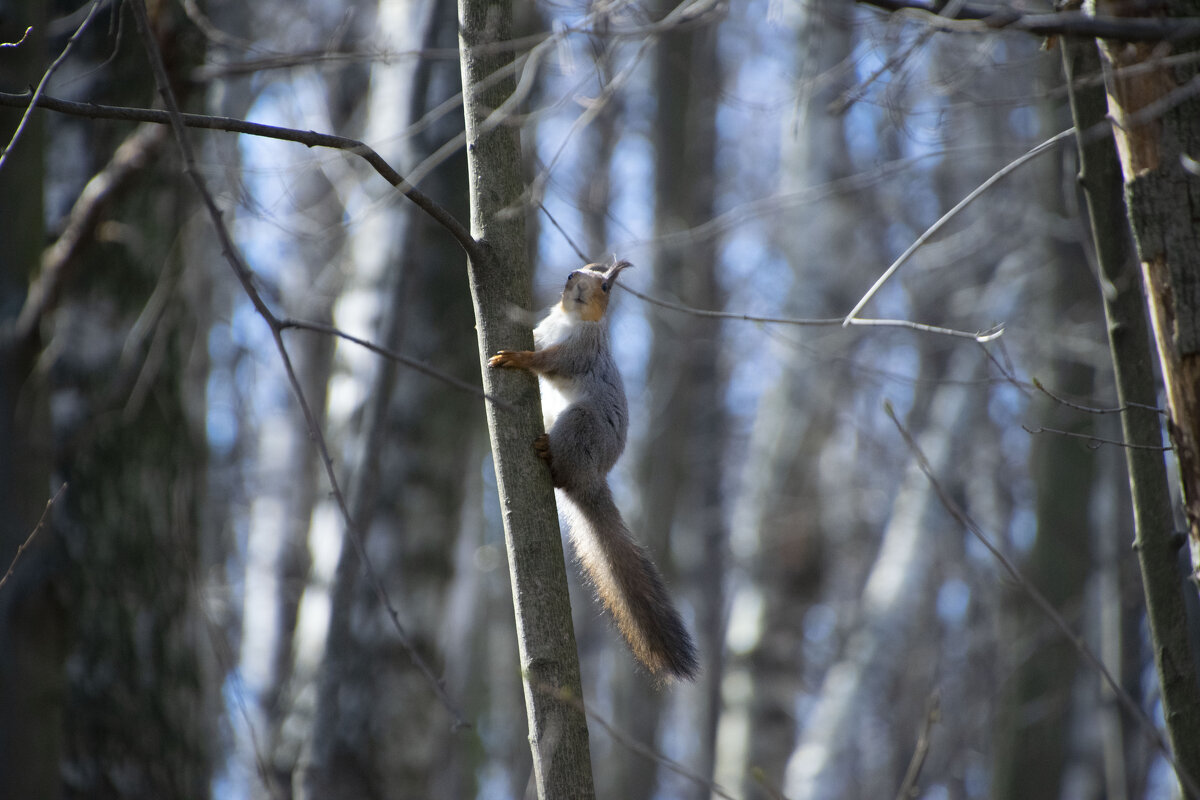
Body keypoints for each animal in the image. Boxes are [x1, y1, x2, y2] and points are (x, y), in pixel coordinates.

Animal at [484, 261, 696, 681]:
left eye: (605, 287)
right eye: (574, 272)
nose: (575, 282)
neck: (569, 320)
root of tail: (591, 478)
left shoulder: (581, 352)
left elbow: (550, 362)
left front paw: (516, 358)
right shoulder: (545, 331)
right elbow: (539, 341)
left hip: (580, 424)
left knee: (562, 470)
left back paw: (548, 454)